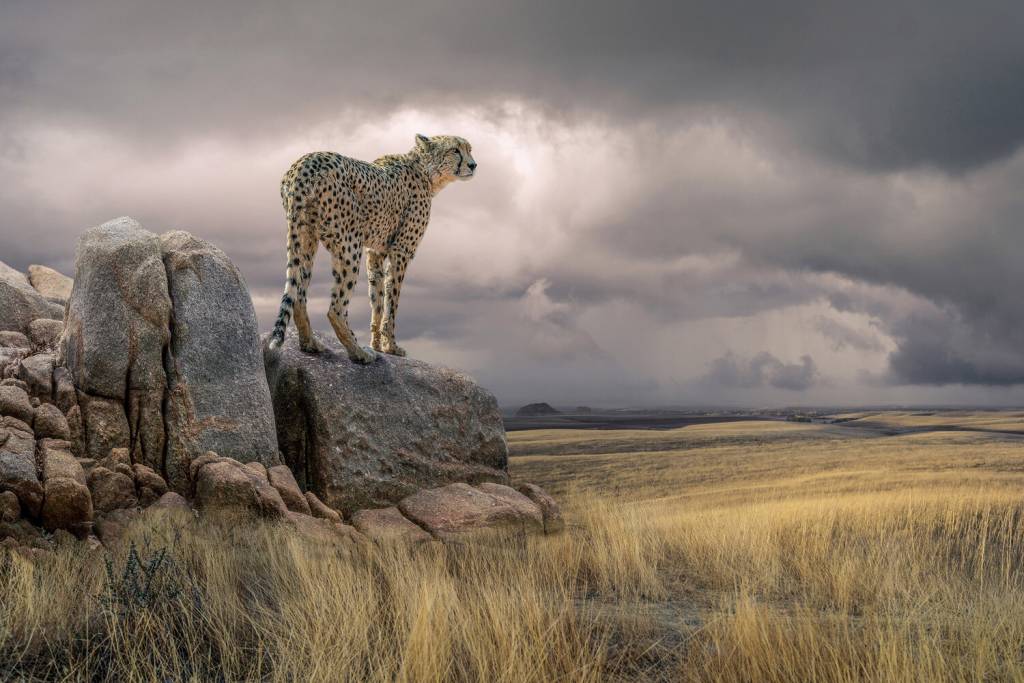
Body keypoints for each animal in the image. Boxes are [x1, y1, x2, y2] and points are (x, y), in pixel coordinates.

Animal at [268, 135, 475, 366]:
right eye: (455, 150)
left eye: (469, 149)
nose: (473, 165)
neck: (426, 172)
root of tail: (306, 162)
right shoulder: (400, 250)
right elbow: (391, 302)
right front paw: (391, 347)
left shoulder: (375, 252)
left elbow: (377, 300)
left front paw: (378, 344)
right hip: (349, 242)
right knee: (335, 308)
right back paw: (358, 352)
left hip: (305, 237)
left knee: (298, 294)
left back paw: (310, 344)